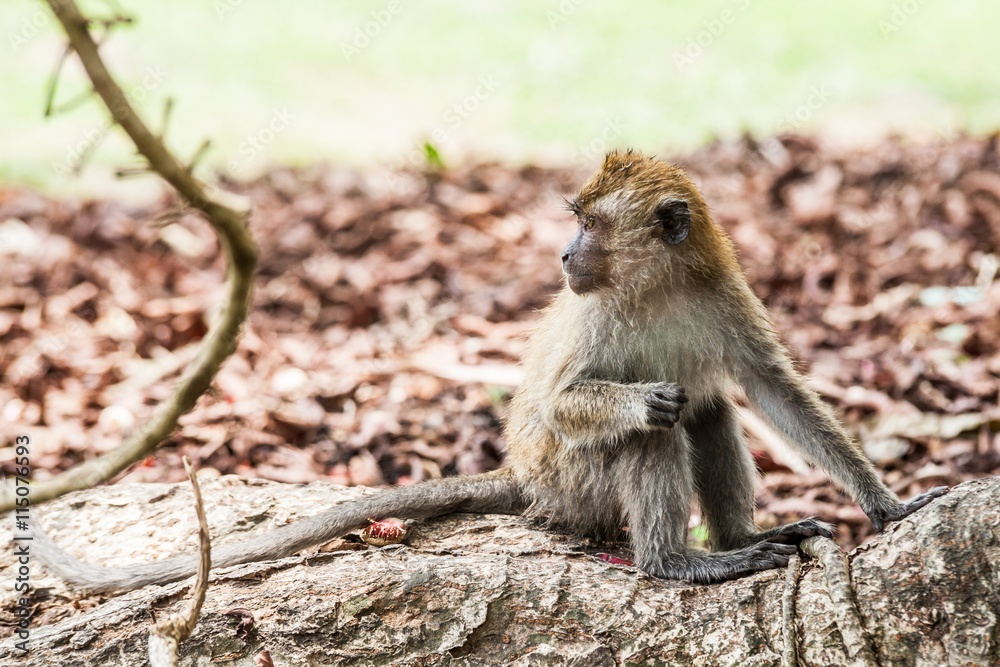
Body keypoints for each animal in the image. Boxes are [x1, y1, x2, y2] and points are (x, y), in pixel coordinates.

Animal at [28, 150, 947, 592]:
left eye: (588, 223)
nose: (564, 253)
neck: (655, 287)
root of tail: (528, 484)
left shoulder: (721, 290)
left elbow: (771, 388)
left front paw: (888, 503)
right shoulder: (595, 313)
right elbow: (567, 403)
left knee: (708, 411)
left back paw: (735, 542)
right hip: (571, 483)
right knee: (656, 424)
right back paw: (678, 561)